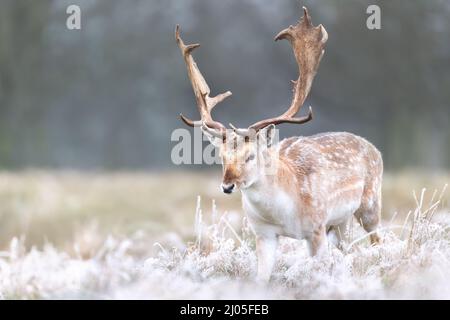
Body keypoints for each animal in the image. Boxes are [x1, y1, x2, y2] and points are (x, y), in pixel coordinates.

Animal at [176, 6, 384, 282]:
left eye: (251, 156)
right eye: (221, 157)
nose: (228, 186)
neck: (285, 213)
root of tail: (374, 148)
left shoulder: (317, 227)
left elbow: (318, 269)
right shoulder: (263, 233)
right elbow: (262, 277)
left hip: (370, 205)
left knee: (378, 240)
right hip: (340, 223)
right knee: (348, 249)